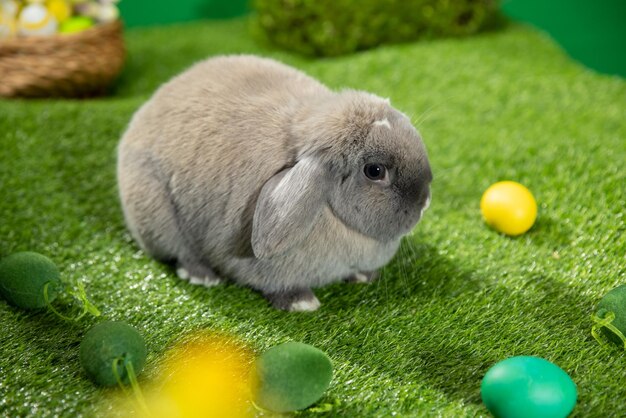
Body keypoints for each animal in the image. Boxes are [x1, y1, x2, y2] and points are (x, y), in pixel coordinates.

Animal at [116, 54, 428, 310]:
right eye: (375, 171)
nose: (425, 201)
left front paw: (363, 276)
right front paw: (301, 303)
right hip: (158, 215)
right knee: (179, 253)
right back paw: (202, 276)